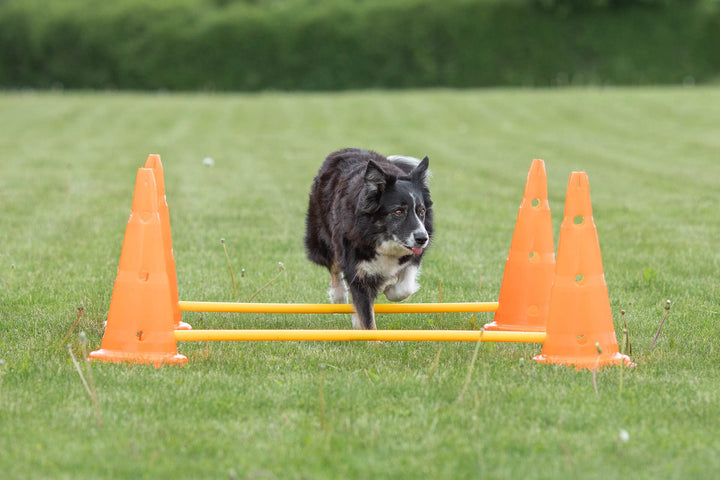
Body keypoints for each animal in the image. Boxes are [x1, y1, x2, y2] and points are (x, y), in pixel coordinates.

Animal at [304, 148, 434, 330]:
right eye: (398, 212)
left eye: (421, 211)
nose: (423, 238)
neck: (379, 236)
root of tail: (345, 150)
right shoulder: (357, 268)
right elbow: (366, 314)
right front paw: (370, 335)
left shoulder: (414, 255)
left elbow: (405, 286)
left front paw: (389, 291)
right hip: (322, 238)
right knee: (333, 266)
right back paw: (339, 296)